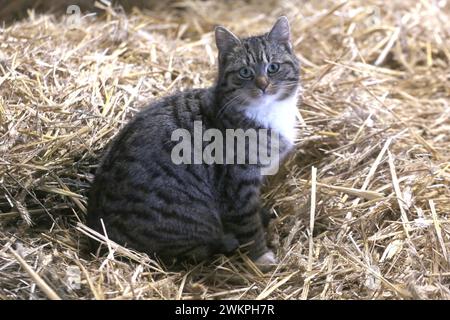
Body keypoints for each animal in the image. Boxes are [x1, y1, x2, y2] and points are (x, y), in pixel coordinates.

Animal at [86, 16, 300, 268]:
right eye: (245, 72)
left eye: (273, 67)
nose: (263, 84)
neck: (266, 112)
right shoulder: (238, 183)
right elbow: (248, 224)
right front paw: (261, 256)